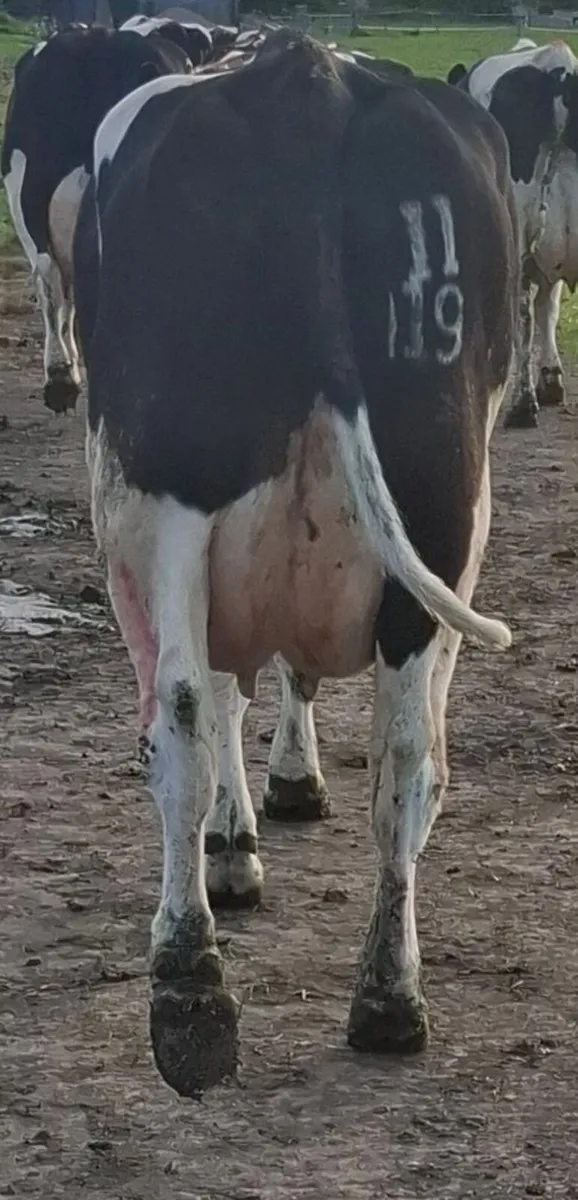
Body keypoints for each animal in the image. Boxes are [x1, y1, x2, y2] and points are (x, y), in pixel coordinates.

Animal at [74, 31, 518, 1098]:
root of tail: (304, 74)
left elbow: (219, 698)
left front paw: (234, 850)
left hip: (169, 496)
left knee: (182, 719)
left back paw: (188, 978)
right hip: (441, 512)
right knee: (409, 758)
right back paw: (390, 997)